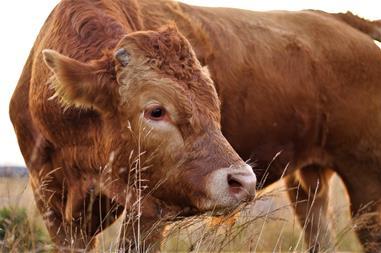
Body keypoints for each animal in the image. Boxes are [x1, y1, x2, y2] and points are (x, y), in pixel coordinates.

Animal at [7, 0, 380, 253]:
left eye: (215, 107)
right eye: (156, 111)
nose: (244, 182)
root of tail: (338, 19)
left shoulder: (149, 210)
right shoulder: (54, 208)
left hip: (367, 183)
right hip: (308, 183)